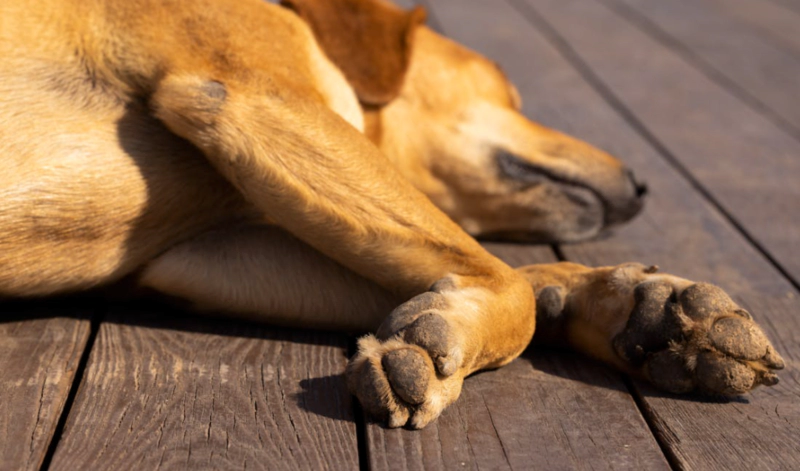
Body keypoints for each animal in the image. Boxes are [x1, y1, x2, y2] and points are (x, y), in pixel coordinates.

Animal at [0, 0, 784, 430]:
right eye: (509, 89)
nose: (644, 183)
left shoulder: (201, 255)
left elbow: (516, 278)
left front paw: (644, 307)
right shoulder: (251, 95)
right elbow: (504, 281)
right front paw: (442, 340)